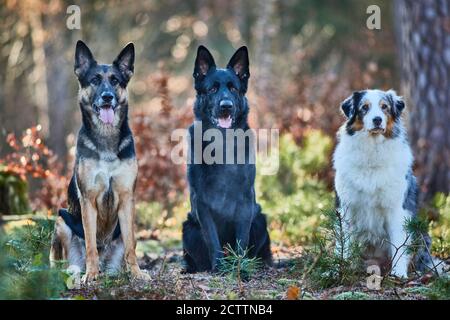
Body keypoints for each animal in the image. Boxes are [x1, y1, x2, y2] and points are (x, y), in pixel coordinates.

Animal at [49, 40, 149, 282]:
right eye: (94, 80)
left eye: (115, 81)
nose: (107, 97)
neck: (106, 138)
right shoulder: (88, 200)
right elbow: (91, 244)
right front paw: (91, 274)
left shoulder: (127, 199)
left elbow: (131, 246)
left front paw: (136, 273)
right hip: (61, 219)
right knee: (62, 261)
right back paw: (79, 271)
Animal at [181, 45, 272, 272]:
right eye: (212, 89)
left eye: (233, 89)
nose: (226, 105)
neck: (222, 142)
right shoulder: (202, 203)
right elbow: (213, 240)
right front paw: (220, 268)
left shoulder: (245, 200)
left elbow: (241, 239)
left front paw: (239, 269)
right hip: (188, 228)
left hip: (259, 219)